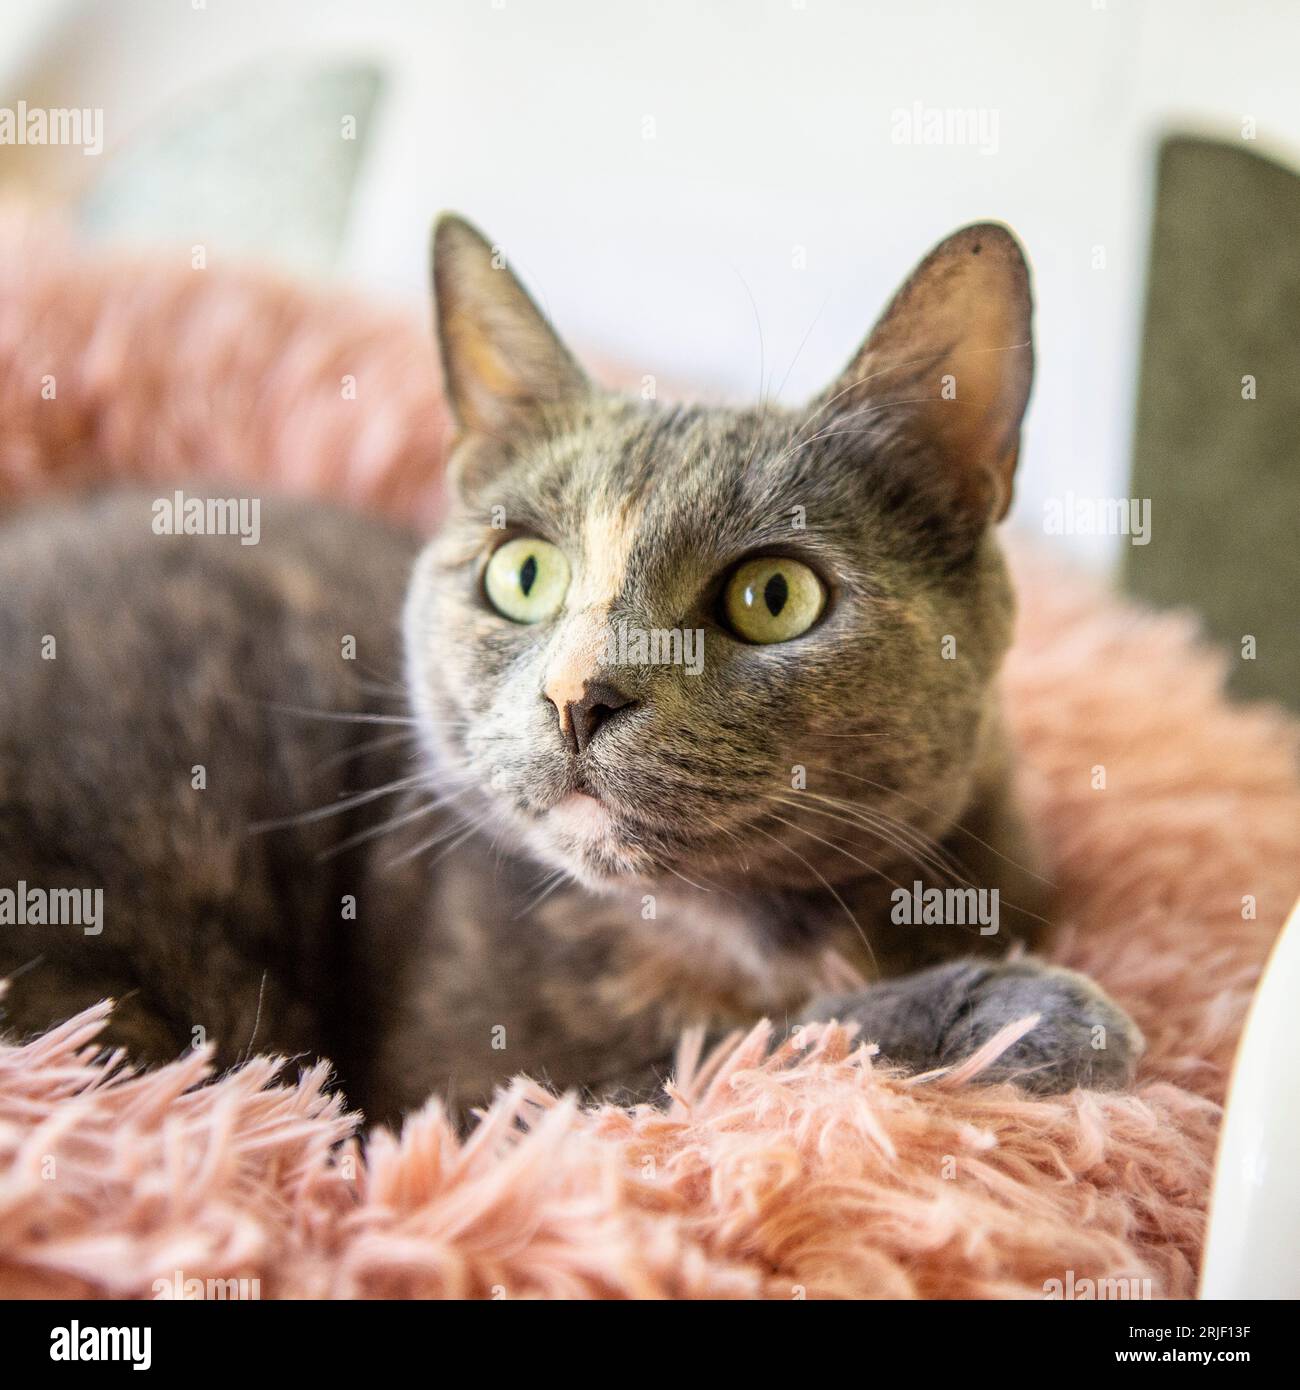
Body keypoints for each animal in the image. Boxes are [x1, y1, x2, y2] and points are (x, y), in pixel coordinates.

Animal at [0, 219, 1140, 1128]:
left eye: (773, 595)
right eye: (524, 572)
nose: (576, 696)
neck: (765, 932)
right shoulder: (470, 1092)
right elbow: (740, 1056)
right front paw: (1023, 1011)